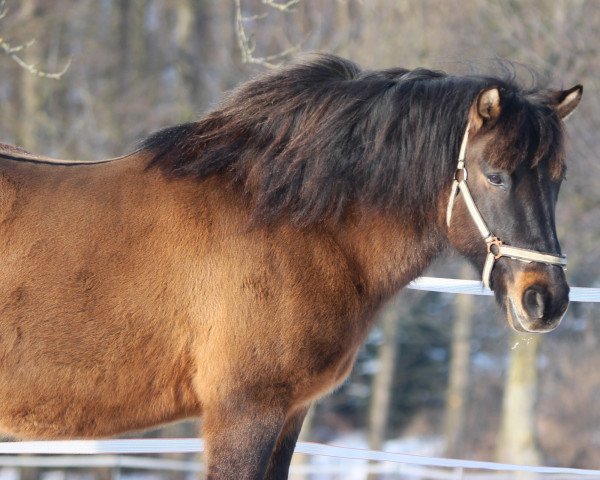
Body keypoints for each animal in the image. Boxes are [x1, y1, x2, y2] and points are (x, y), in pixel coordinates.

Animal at [0, 54, 584, 478]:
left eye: (557, 178)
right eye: (495, 174)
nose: (544, 299)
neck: (286, 220)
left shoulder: (289, 414)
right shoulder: (244, 413)